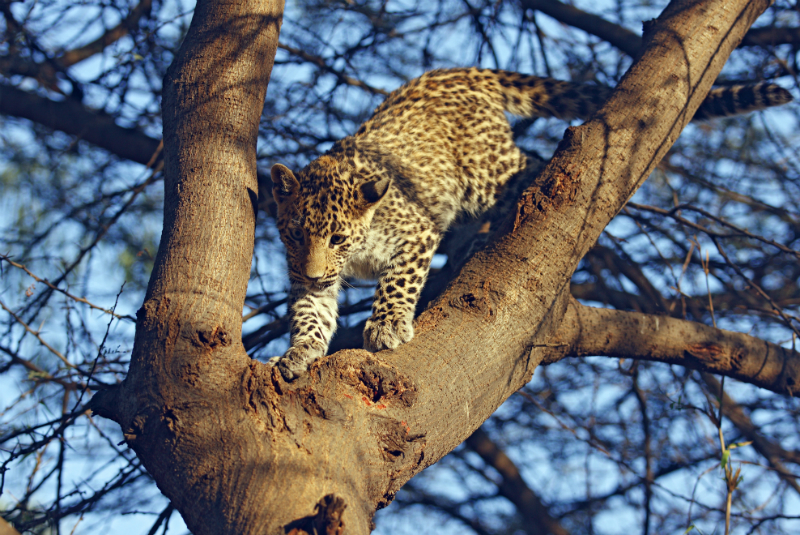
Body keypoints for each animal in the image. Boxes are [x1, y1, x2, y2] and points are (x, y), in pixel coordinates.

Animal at [264, 67, 792, 382]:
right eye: (294, 235)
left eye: (338, 237)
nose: (314, 270)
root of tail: (454, 70)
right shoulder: (308, 276)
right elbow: (310, 313)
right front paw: (297, 353)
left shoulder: (413, 233)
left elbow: (397, 282)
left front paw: (388, 324)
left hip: (485, 170)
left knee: (535, 166)